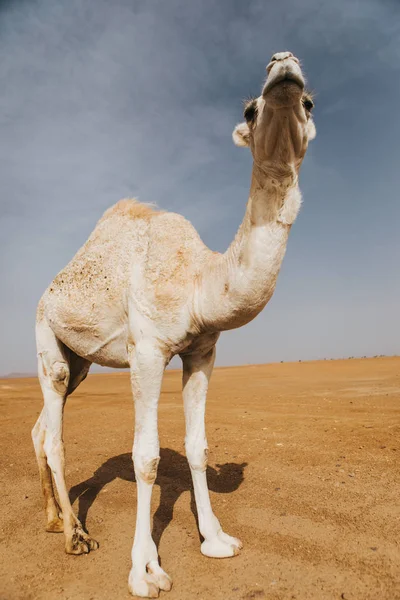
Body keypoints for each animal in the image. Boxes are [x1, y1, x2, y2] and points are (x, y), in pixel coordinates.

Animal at [32, 52, 316, 600]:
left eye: (310, 102)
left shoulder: (202, 350)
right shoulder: (146, 350)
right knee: (54, 432)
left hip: (78, 361)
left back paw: (54, 520)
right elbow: (146, 458)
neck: (198, 282)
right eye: (249, 109)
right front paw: (145, 571)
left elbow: (197, 448)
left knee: (40, 428)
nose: (284, 66)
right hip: (44, 338)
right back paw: (77, 536)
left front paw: (218, 540)